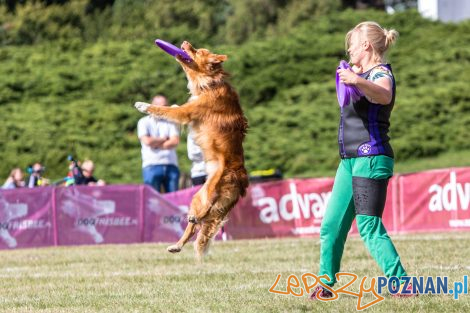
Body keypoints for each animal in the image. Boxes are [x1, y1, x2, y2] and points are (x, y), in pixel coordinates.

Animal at [134, 40, 248, 258]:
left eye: (197, 51)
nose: (185, 42)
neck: (209, 84)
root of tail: (241, 181)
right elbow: (172, 107)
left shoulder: (186, 112)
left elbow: (165, 110)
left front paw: (143, 105)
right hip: (198, 195)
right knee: (195, 226)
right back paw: (177, 245)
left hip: (211, 190)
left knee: (205, 214)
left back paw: (197, 219)